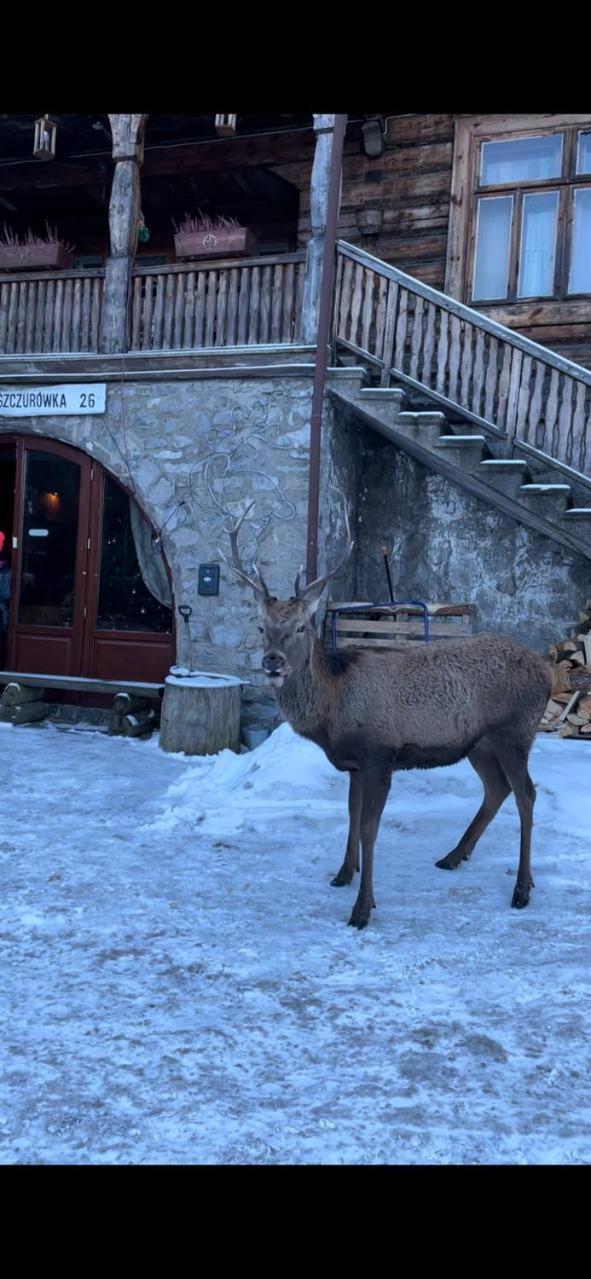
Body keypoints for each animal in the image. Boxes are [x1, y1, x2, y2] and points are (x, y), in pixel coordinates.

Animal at [220, 519, 550, 931]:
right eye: (262, 627)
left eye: (300, 628)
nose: (273, 662)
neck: (333, 711)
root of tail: (548, 672)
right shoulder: (355, 765)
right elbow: (351, 815)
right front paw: (343, 873)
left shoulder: (379, 756)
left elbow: (369, 827)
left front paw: (362, 909)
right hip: (480, 744)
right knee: (496, 789)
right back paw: (453, 856)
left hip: (515, 731)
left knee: (526, 794)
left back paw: (521, 889)